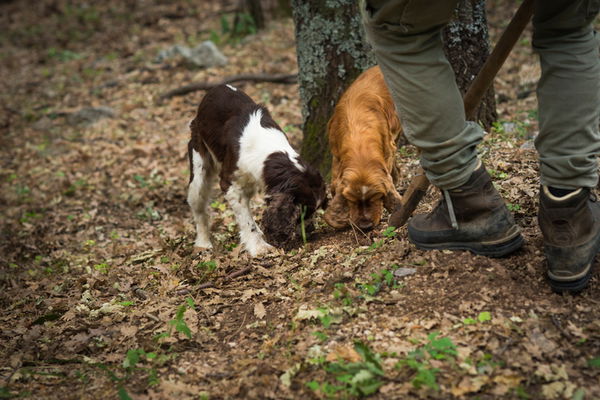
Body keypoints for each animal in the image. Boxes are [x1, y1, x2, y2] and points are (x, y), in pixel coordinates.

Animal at [189, 84, 326, 256]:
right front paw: (259, 247)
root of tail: (216, 88)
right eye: (303, 211)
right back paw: (203, 243)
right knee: (199, 207)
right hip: (199, 167)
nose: (311, 230)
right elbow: (247, 221)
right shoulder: (230, 184)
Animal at [324, 64, 404, 230]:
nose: (365, 225)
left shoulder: (387, 149)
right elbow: (334, 182)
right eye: (352, 200)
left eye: (377, 196)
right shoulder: (336, 155)